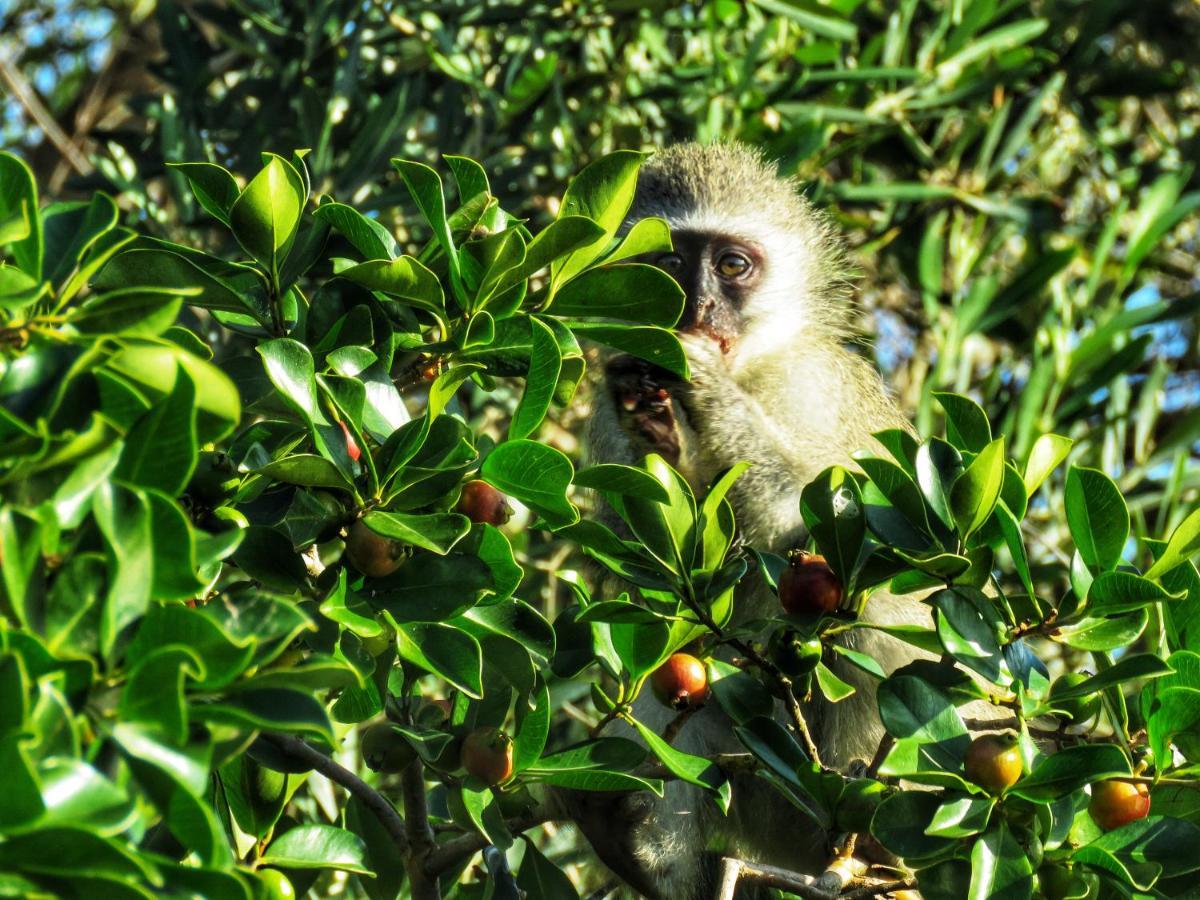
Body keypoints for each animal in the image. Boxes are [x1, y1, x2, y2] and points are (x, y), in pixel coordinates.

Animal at [566, 144, 931, 897]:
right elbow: (651, 578)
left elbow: (838, 534)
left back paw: (866, 832)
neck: (758, 366)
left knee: (878, 608)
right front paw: (662, 436)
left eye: (733, 266)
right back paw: (646, 857)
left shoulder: (812, 387)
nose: (699, 306)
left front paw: (706, 395)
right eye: (670, 261)